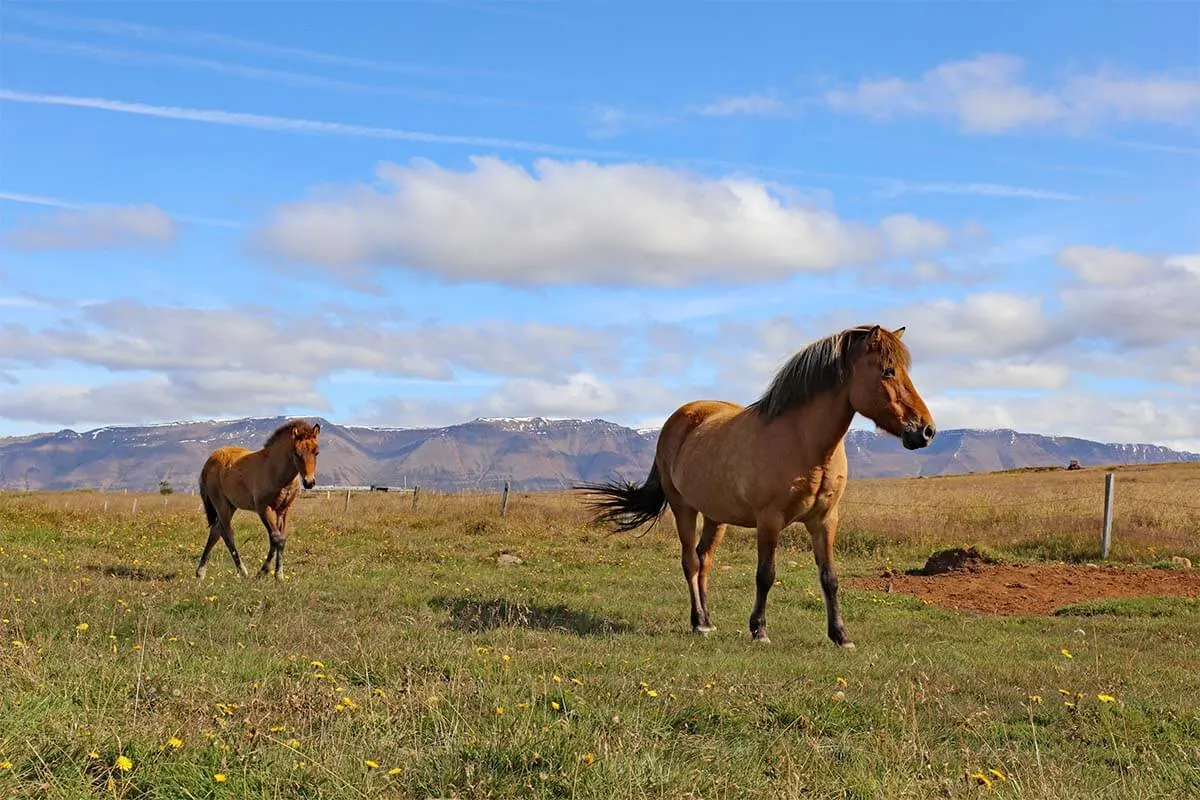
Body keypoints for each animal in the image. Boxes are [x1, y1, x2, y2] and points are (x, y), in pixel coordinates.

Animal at [195, 419, 321, 582]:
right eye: (297, 453)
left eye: (316, 452)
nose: (309, 482)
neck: (274, 471)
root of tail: (210, 460)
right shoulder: (263, 508)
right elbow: (276, 538)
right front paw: (265, 572)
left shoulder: (284, 510)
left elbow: (280, 538)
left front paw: (278, 574)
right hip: (221, 504)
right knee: (227, 533)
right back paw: (242, 571)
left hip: (231, 505)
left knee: (216, 531)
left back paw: (200, 572)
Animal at [580, 326, 936, 652]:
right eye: (888, 370)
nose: (926, 430)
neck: (804, 442)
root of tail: (677, 421)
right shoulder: (770, 520)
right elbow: (766, 574)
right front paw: (759, 630)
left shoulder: (825, 520)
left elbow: (830, 578)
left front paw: (840, 636)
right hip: (684, 509)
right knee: (690, 562)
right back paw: (698, 623)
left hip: (715, 516)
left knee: (704, 560)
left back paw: (708, 620)